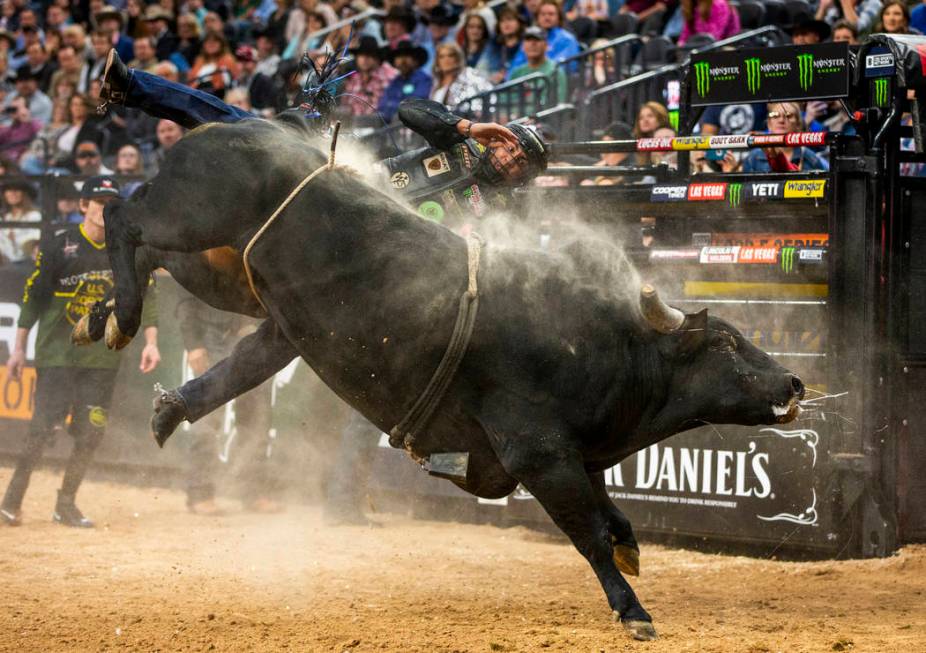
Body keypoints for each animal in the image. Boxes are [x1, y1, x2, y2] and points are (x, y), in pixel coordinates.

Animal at [76, 119, 800, 640]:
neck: (615, 348)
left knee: (171, 278)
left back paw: (128, 352)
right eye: (727, 343)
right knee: (123, 217)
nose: (793, 383)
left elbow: (614, 516)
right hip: (195, 215)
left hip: (231, 277)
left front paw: (631, 554)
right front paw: (633, 610)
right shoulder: (539, 453)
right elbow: (590, 531)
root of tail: (226, 126)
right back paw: (122, 312)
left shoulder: (580, 455)